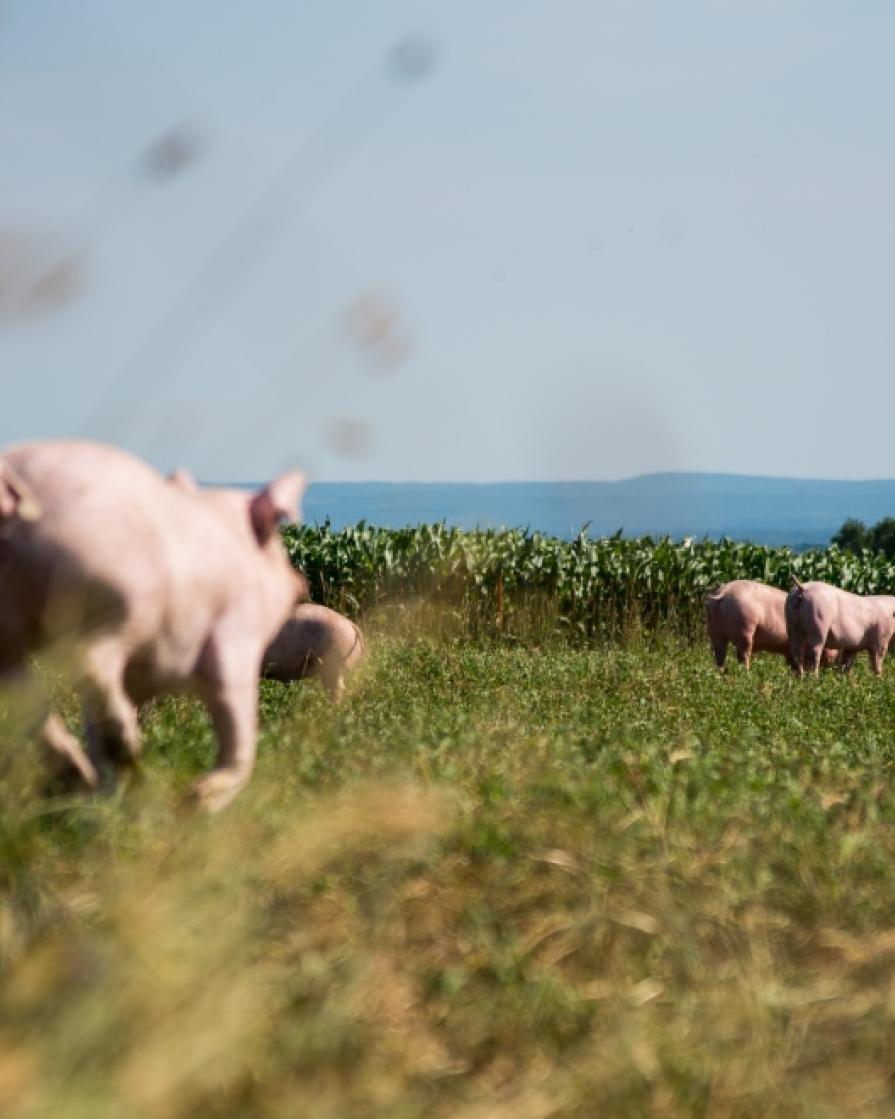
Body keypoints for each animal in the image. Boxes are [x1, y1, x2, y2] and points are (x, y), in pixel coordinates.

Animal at [0, 439, 308, 810]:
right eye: (277, 547)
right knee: (91, 665)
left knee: (27, 698)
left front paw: (112, 796)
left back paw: (84, 779)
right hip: (103, 596)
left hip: (10, 631)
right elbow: (237, 717)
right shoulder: (235, 634)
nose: (301, 584)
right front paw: (197, 802)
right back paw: (129, 756)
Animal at [704, 579, 837, 671]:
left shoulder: (788, 651)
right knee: (743, 655)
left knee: (719, 655)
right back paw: (746, 674)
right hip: (744, 627)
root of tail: (724, 592)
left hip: (714, 630)